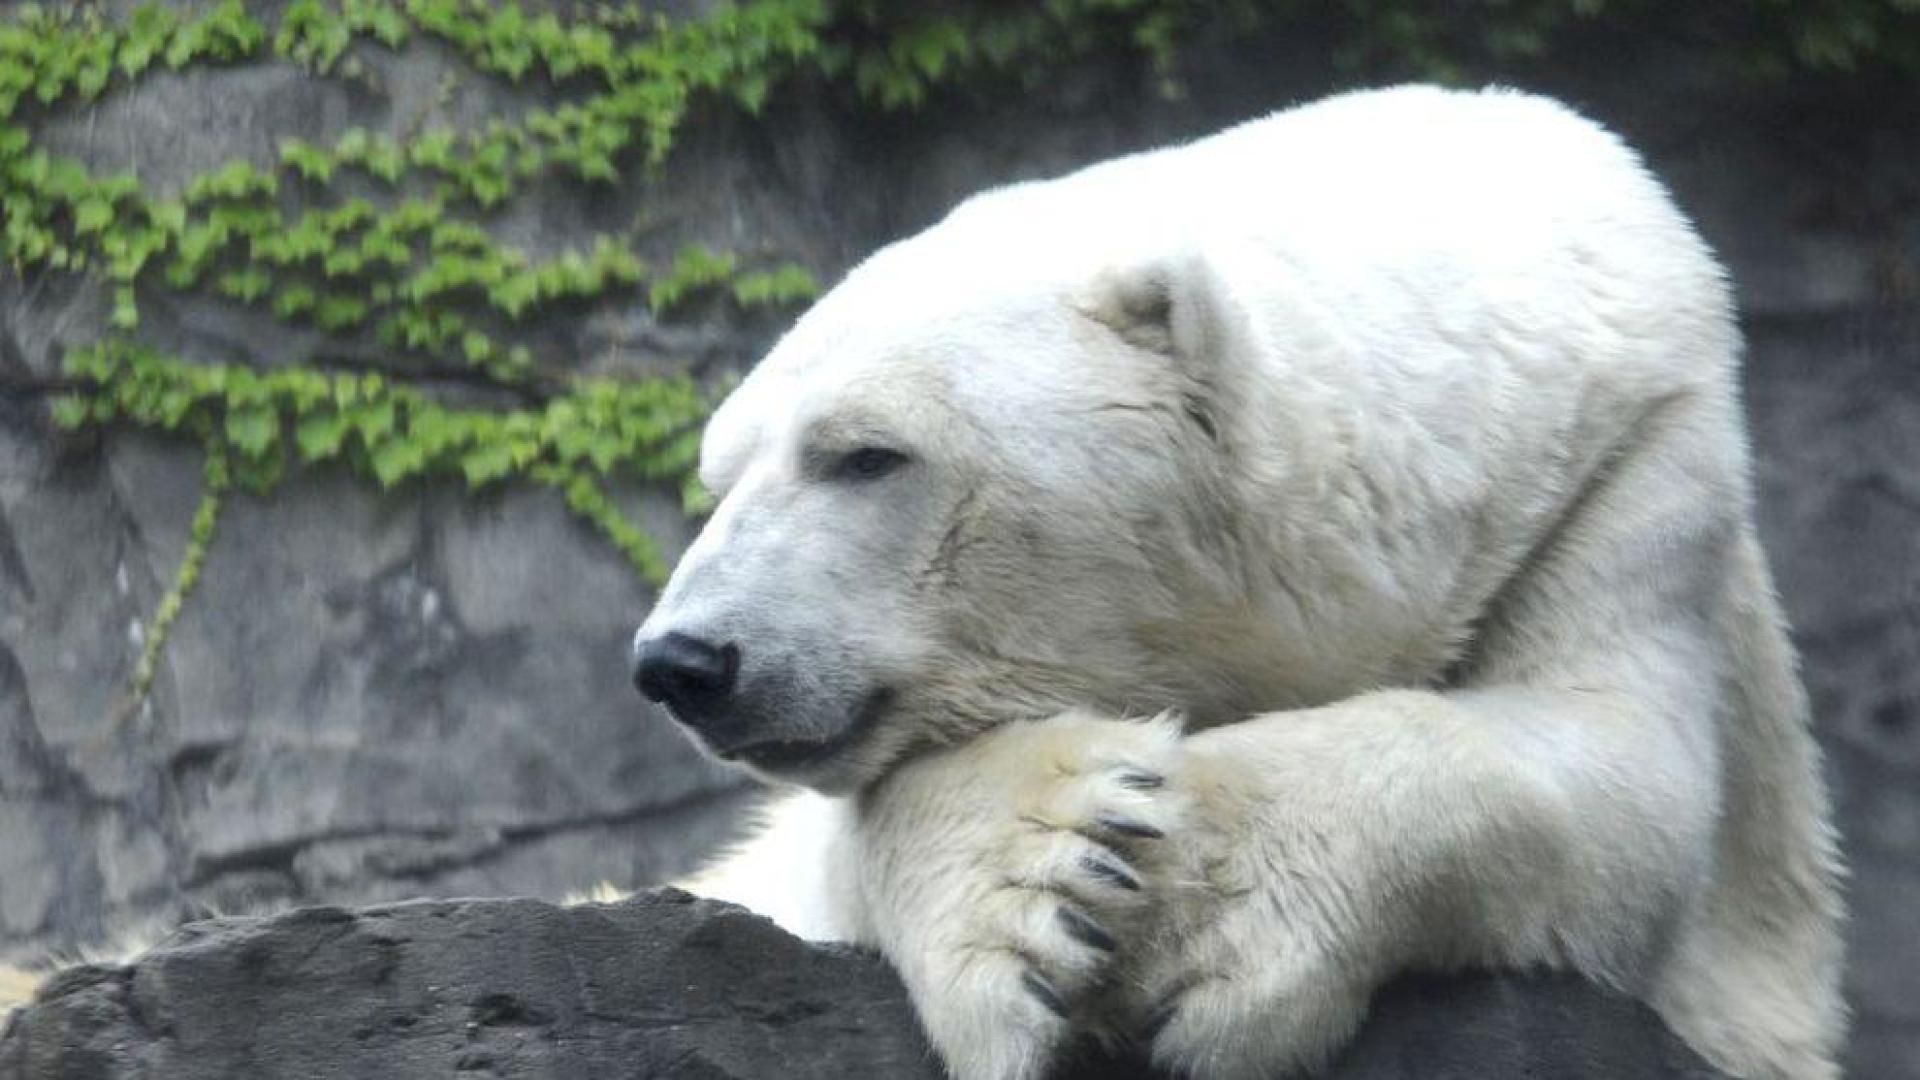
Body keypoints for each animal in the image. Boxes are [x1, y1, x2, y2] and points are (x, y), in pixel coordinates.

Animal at [631, 85, 1845, 1080]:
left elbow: (1620, 779)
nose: (682, 661)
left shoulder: (1622, 472)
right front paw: (1055, 874)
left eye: (865, 455)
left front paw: (1206, 907)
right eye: (721, 476)